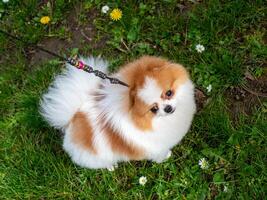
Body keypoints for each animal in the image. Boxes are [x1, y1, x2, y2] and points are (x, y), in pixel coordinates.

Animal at [41, 55, 197, 170]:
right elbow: (160, 154)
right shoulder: (155, 147)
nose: (168, 108)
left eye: (169, 93)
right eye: (153, 109)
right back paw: (111, 166)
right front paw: (166, 157)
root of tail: (72, 120)